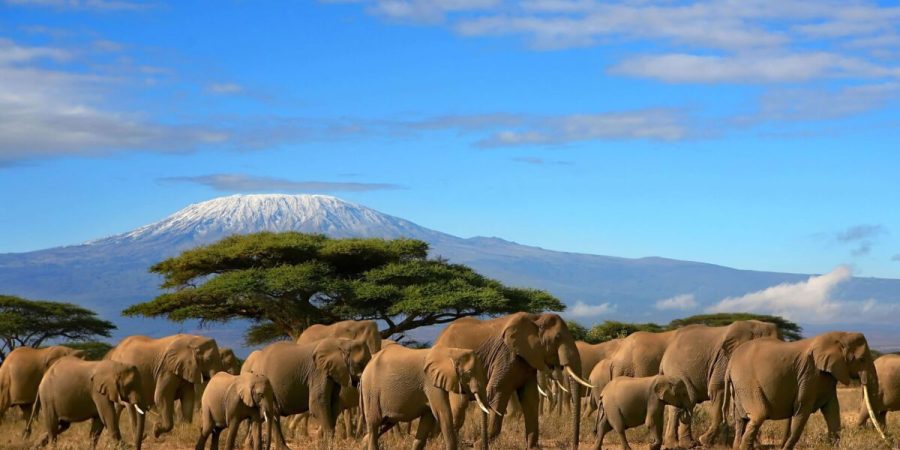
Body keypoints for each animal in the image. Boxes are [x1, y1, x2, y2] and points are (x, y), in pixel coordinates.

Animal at [242, 337, 371, 450]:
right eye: (360, 363)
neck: (343, 342)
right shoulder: (318, 372)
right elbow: (317, 404)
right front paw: (328, 446)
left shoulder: (333, 373)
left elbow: (333, 405)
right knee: (273, 414)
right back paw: (283, 448)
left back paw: (248, 446)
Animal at [360, 344, 497, 450]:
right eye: (468, 374)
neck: (451, 352)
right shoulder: (430, 383)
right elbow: (443, 414)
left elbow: (427, 419)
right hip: (371, 391)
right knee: (374, 424)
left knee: (384, 424)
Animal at [433, 312, 592, 449]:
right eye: (557, 337)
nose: (574, 446)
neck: (535, 318)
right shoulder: (506, 355)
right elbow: (498, 391)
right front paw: (479, 445)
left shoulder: (527, 359)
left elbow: (530, 398)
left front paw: (533, 447)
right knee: (459, 405)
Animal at [726, 331, 883, 450]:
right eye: (862, 359)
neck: (839, 336)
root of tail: (730, 363)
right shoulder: (809, 374)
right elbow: (802, 409)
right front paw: (786, 448)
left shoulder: (827, 376)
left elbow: (832, 410)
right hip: (746, 382)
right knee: (758, 415)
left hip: (739, 388)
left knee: (741, 419)